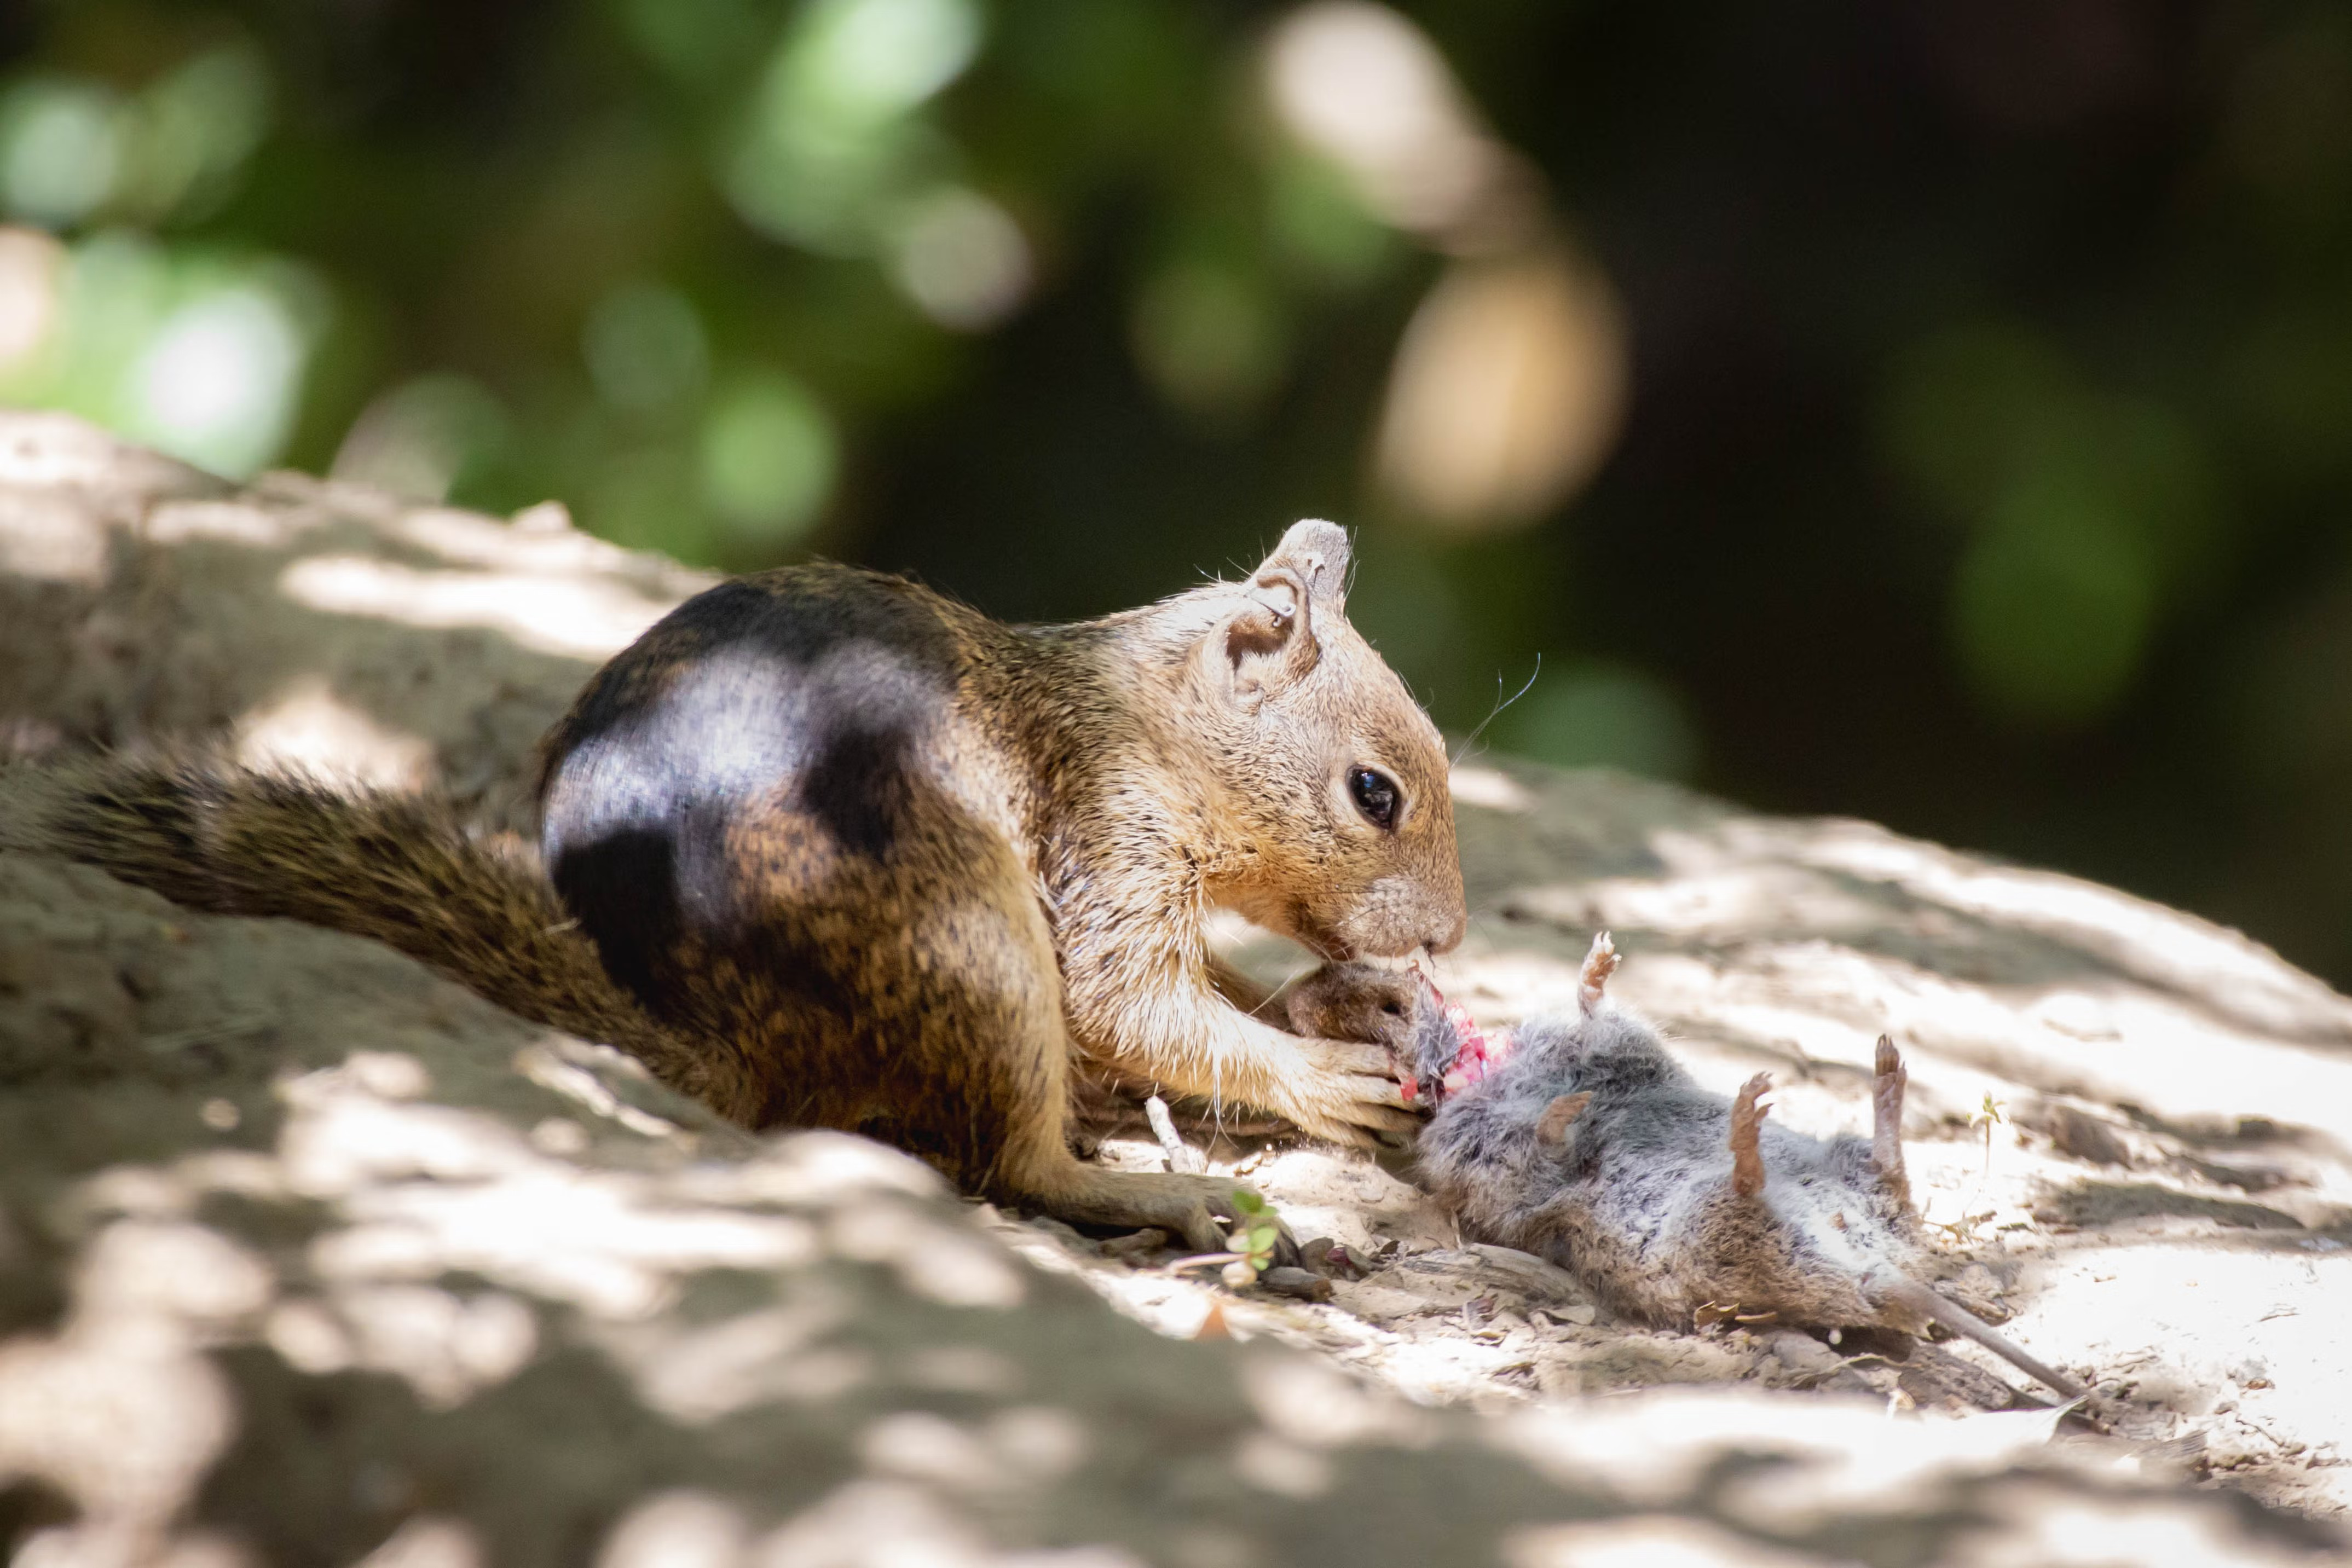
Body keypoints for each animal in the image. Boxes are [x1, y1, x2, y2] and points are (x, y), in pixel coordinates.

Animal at [9, 524, 1458, 1251]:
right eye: (1373, 792)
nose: (1447, 935)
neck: (1142, 719)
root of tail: (733, 1039)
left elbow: (1203, 989)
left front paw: (1344, 1008)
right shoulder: (1107, 837)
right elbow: (1132, 1005)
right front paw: (1319, 1073)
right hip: (973, 937)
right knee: (1013, 1161)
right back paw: (1154, 1193)